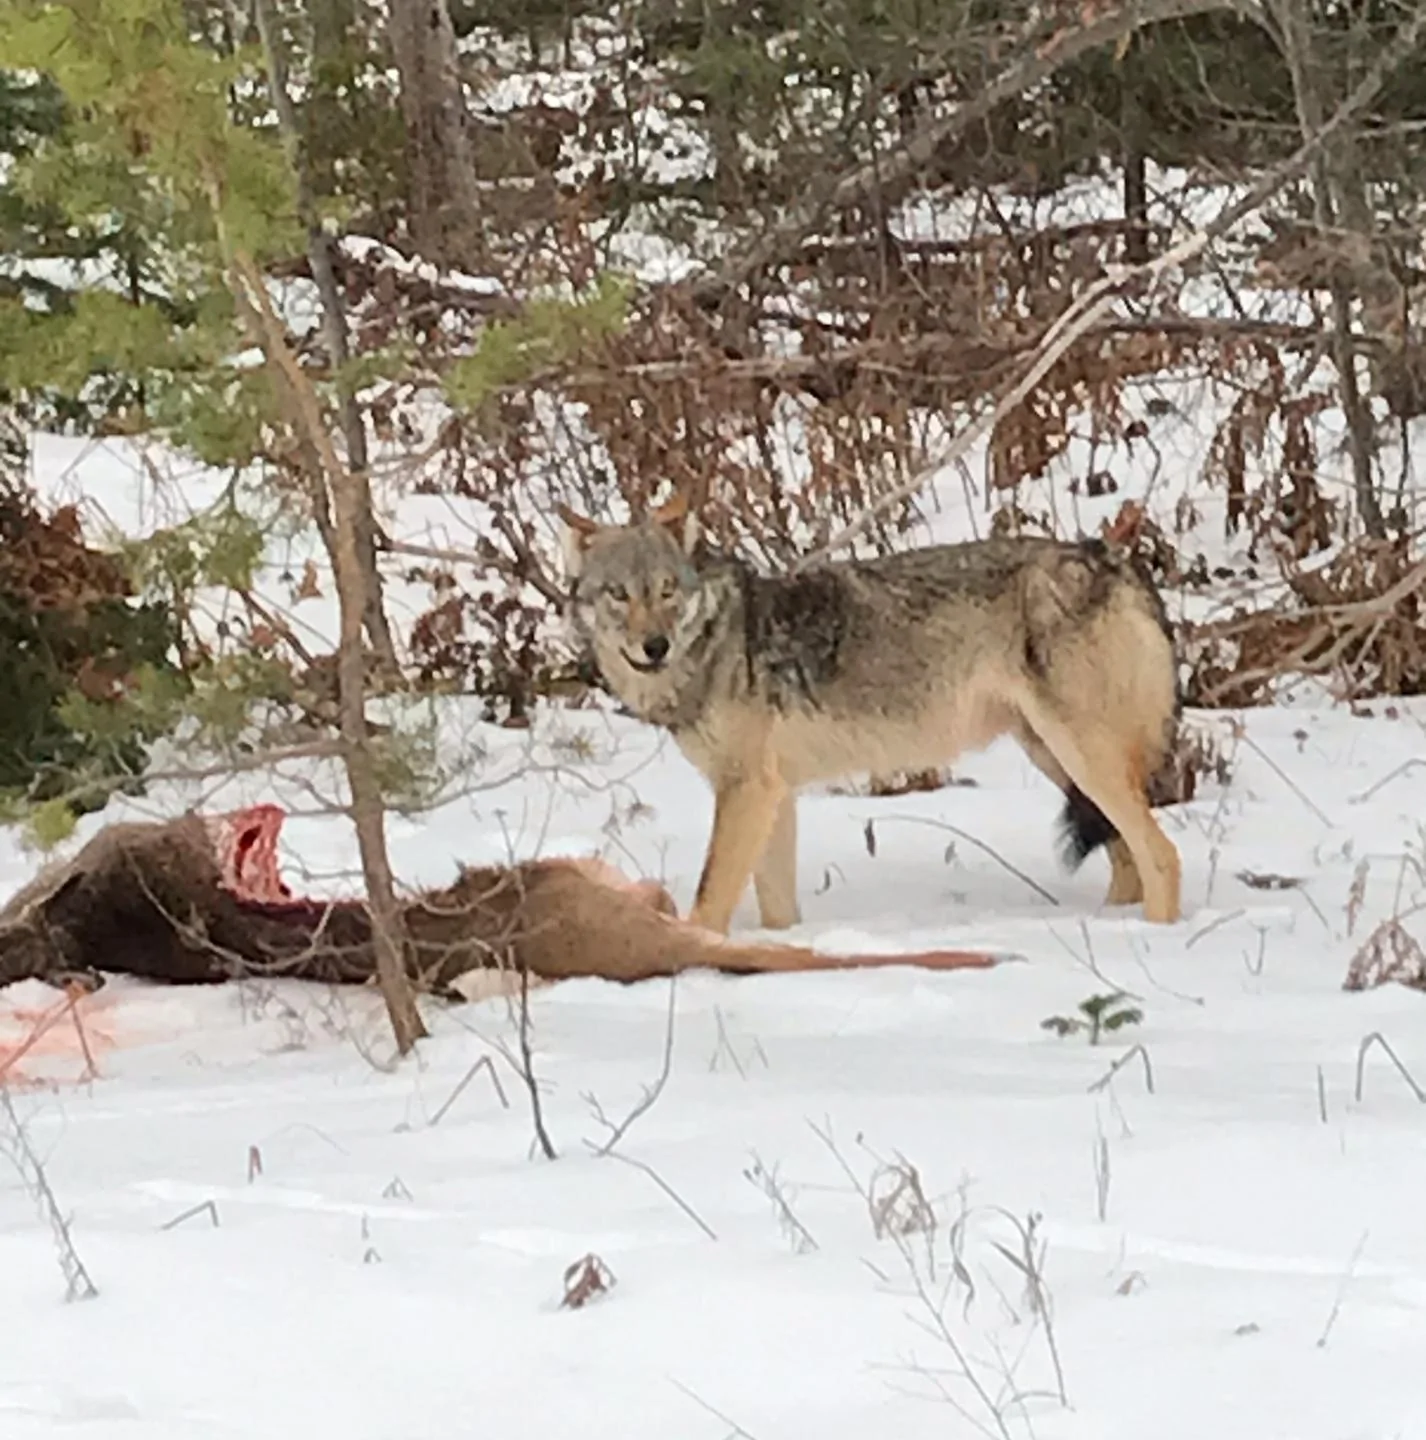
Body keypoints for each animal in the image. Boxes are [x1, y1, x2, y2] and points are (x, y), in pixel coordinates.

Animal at [559, 493, 1183, 935]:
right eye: (618, 594)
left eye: (667, 591)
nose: (655, 646)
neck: (718, 644)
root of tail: (1110, 558)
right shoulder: (773, 796)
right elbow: (778, 910)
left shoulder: (745, 792)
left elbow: (710, 901)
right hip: (1058, 761)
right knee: (1127, 858)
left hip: (1081, 759)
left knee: (1161, 855)